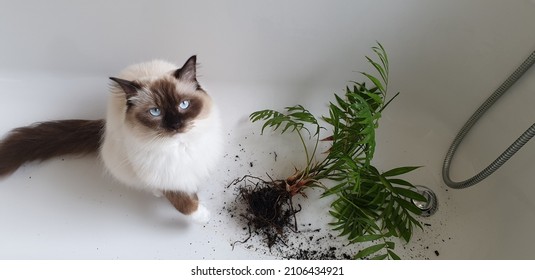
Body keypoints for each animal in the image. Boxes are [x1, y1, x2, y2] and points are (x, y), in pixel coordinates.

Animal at [0, 55, 222, 224]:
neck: (178, 147)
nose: (175, 125)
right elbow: (182, 203)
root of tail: (105, 124)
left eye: (184, 105)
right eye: (155, 112)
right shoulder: (162, 174)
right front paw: (202, 215)